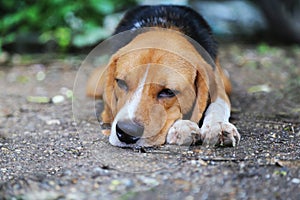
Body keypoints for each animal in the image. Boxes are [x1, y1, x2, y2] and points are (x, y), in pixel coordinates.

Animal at [85, 5, 240, 148]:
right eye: (121, 83)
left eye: (168, 92)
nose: (127, 132)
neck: (164, 26)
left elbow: (219, 104)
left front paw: (218, 125)